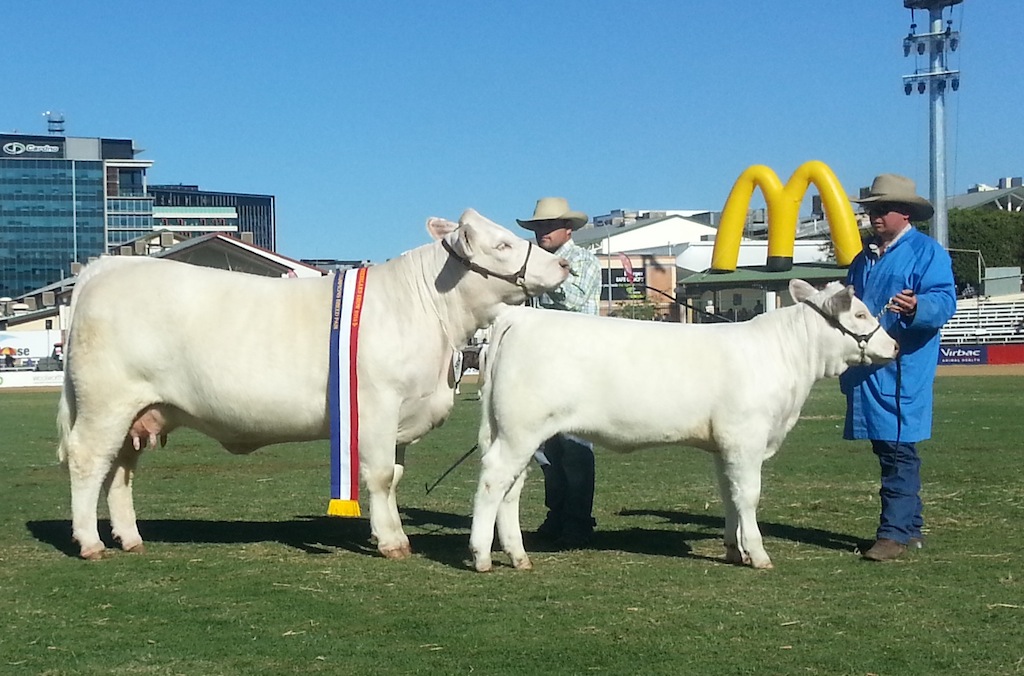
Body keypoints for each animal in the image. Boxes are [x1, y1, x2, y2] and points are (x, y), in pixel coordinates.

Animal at [58, 209, 569, 561]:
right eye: (502, 244)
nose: (562, 267)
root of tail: (104, 267)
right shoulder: (377, 405)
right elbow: (380, 476)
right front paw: (392, 543)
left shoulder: (399, 419)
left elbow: (393, 476)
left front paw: (390, 533)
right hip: (105, 402)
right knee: (88, 460)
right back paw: (90, 543)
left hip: (141, 410)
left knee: (120, 470)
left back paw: (130, 539)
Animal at [468, 278, 897, 569]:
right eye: (861, 314)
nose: (894, 346)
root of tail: (517, 316)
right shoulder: (746, 438)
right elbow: (749, 496)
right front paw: (758, 554)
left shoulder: (724, 445)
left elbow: (729, 494)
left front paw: (733, 549)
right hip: (520, 430)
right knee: (493, 481)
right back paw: (481, 556)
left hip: (520, 432)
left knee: (511, 488)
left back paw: (518, 555)